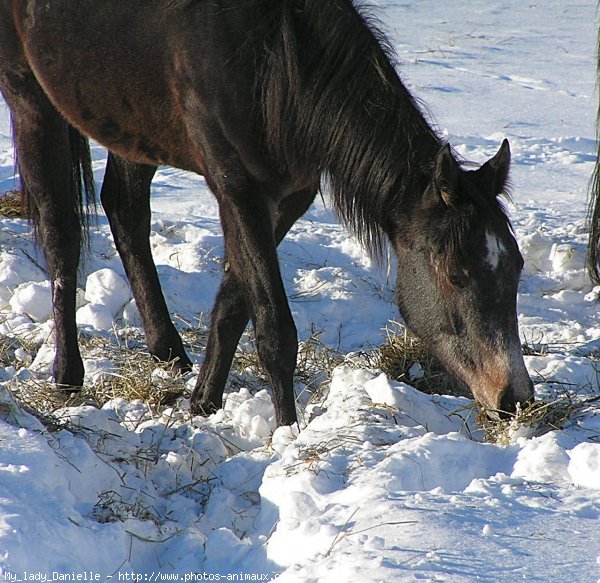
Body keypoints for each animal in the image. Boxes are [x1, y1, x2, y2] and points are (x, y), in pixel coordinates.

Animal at [1, 1, 536, 428]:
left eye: (515, 267)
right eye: (455, 274)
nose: (514, 398)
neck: (274, 64)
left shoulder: (288, 196)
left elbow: (235, 302)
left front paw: (203, 403)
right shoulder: (238, 188)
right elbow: (276, 329)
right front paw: (286, 435)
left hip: (131, 124)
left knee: (125, 211)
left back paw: (169, 353)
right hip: (30, 95)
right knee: (61, 234)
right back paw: (67, 376)